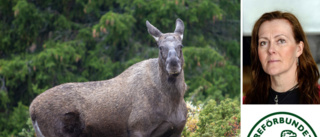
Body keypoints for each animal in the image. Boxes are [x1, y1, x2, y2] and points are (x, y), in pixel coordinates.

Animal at [29, 18, 188, 137]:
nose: (173, 63)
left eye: (181, 45)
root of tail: (32, 109)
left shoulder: (176, 129)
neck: (172, 99)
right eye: (160, 47)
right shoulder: (138, 128)